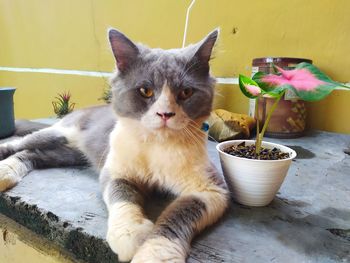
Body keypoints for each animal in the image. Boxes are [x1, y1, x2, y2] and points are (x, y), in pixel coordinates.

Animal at [0, 27, 230, 262]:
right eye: (145, 90)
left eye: (186, 92)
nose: (165, 114)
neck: (157, 144)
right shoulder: (116, 170)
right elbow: (122, 195)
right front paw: (131, 233)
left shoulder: (210, 189)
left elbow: (179, 214)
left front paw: (156, 253)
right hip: (60, 133)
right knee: (20, 144)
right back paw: (4, 170)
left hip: (71, 155)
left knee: (33, 154)